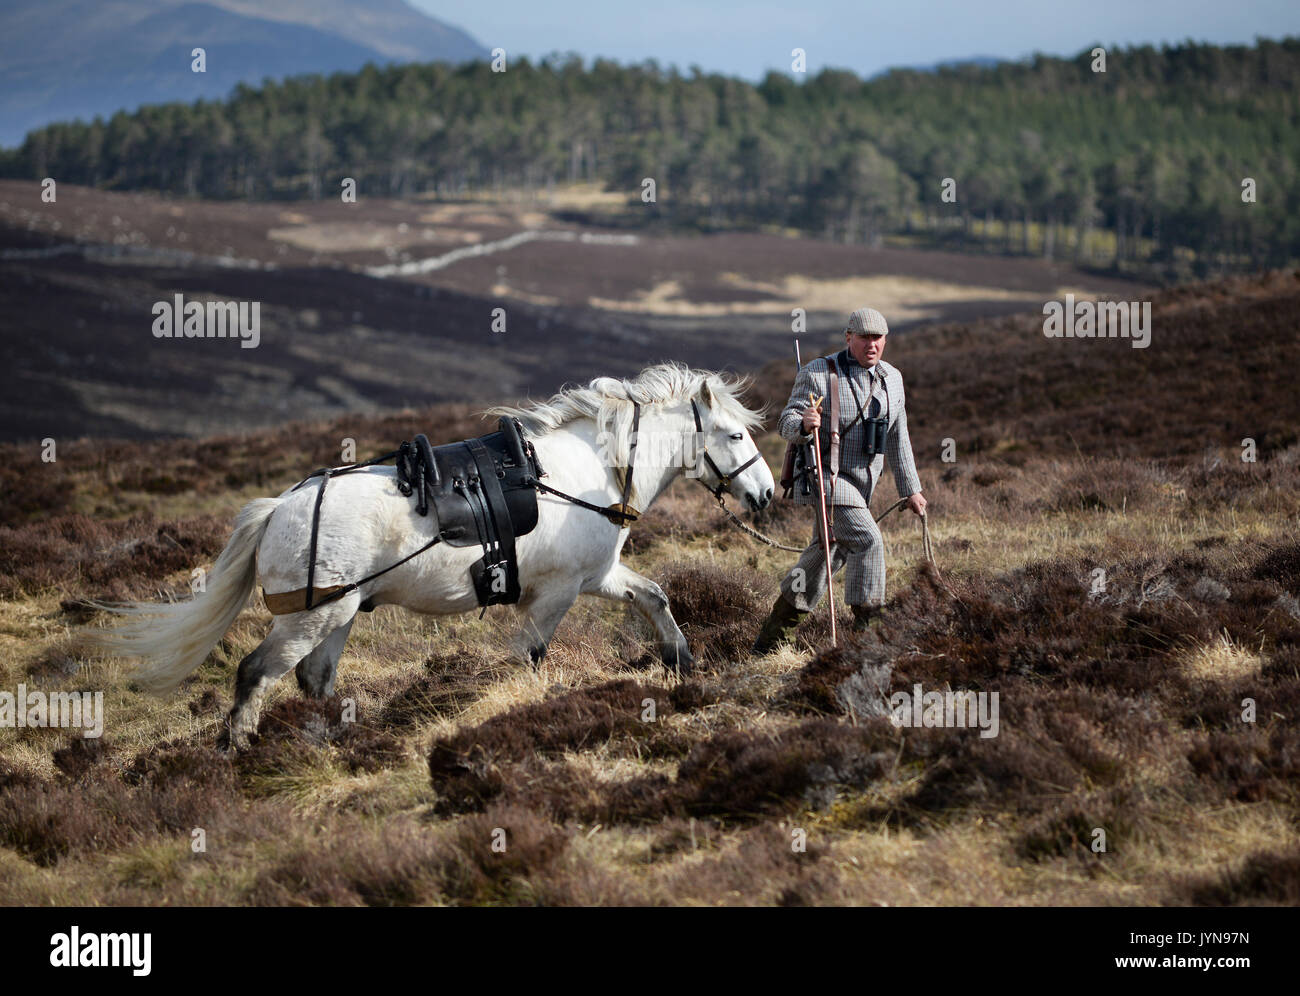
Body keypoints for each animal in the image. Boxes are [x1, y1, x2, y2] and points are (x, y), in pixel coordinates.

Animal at [101, 364, 774, 754]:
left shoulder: (597, 577)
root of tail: (279, 509)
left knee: (315, 679)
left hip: (338, 615)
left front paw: (682, 661)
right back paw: (237, 748)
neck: (592, 471)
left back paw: (331, 744)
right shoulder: (556, 593)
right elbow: (530, 655)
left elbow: (655, 596)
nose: (767, 494)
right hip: (309, 617)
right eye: (736, 434)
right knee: (256, 673)